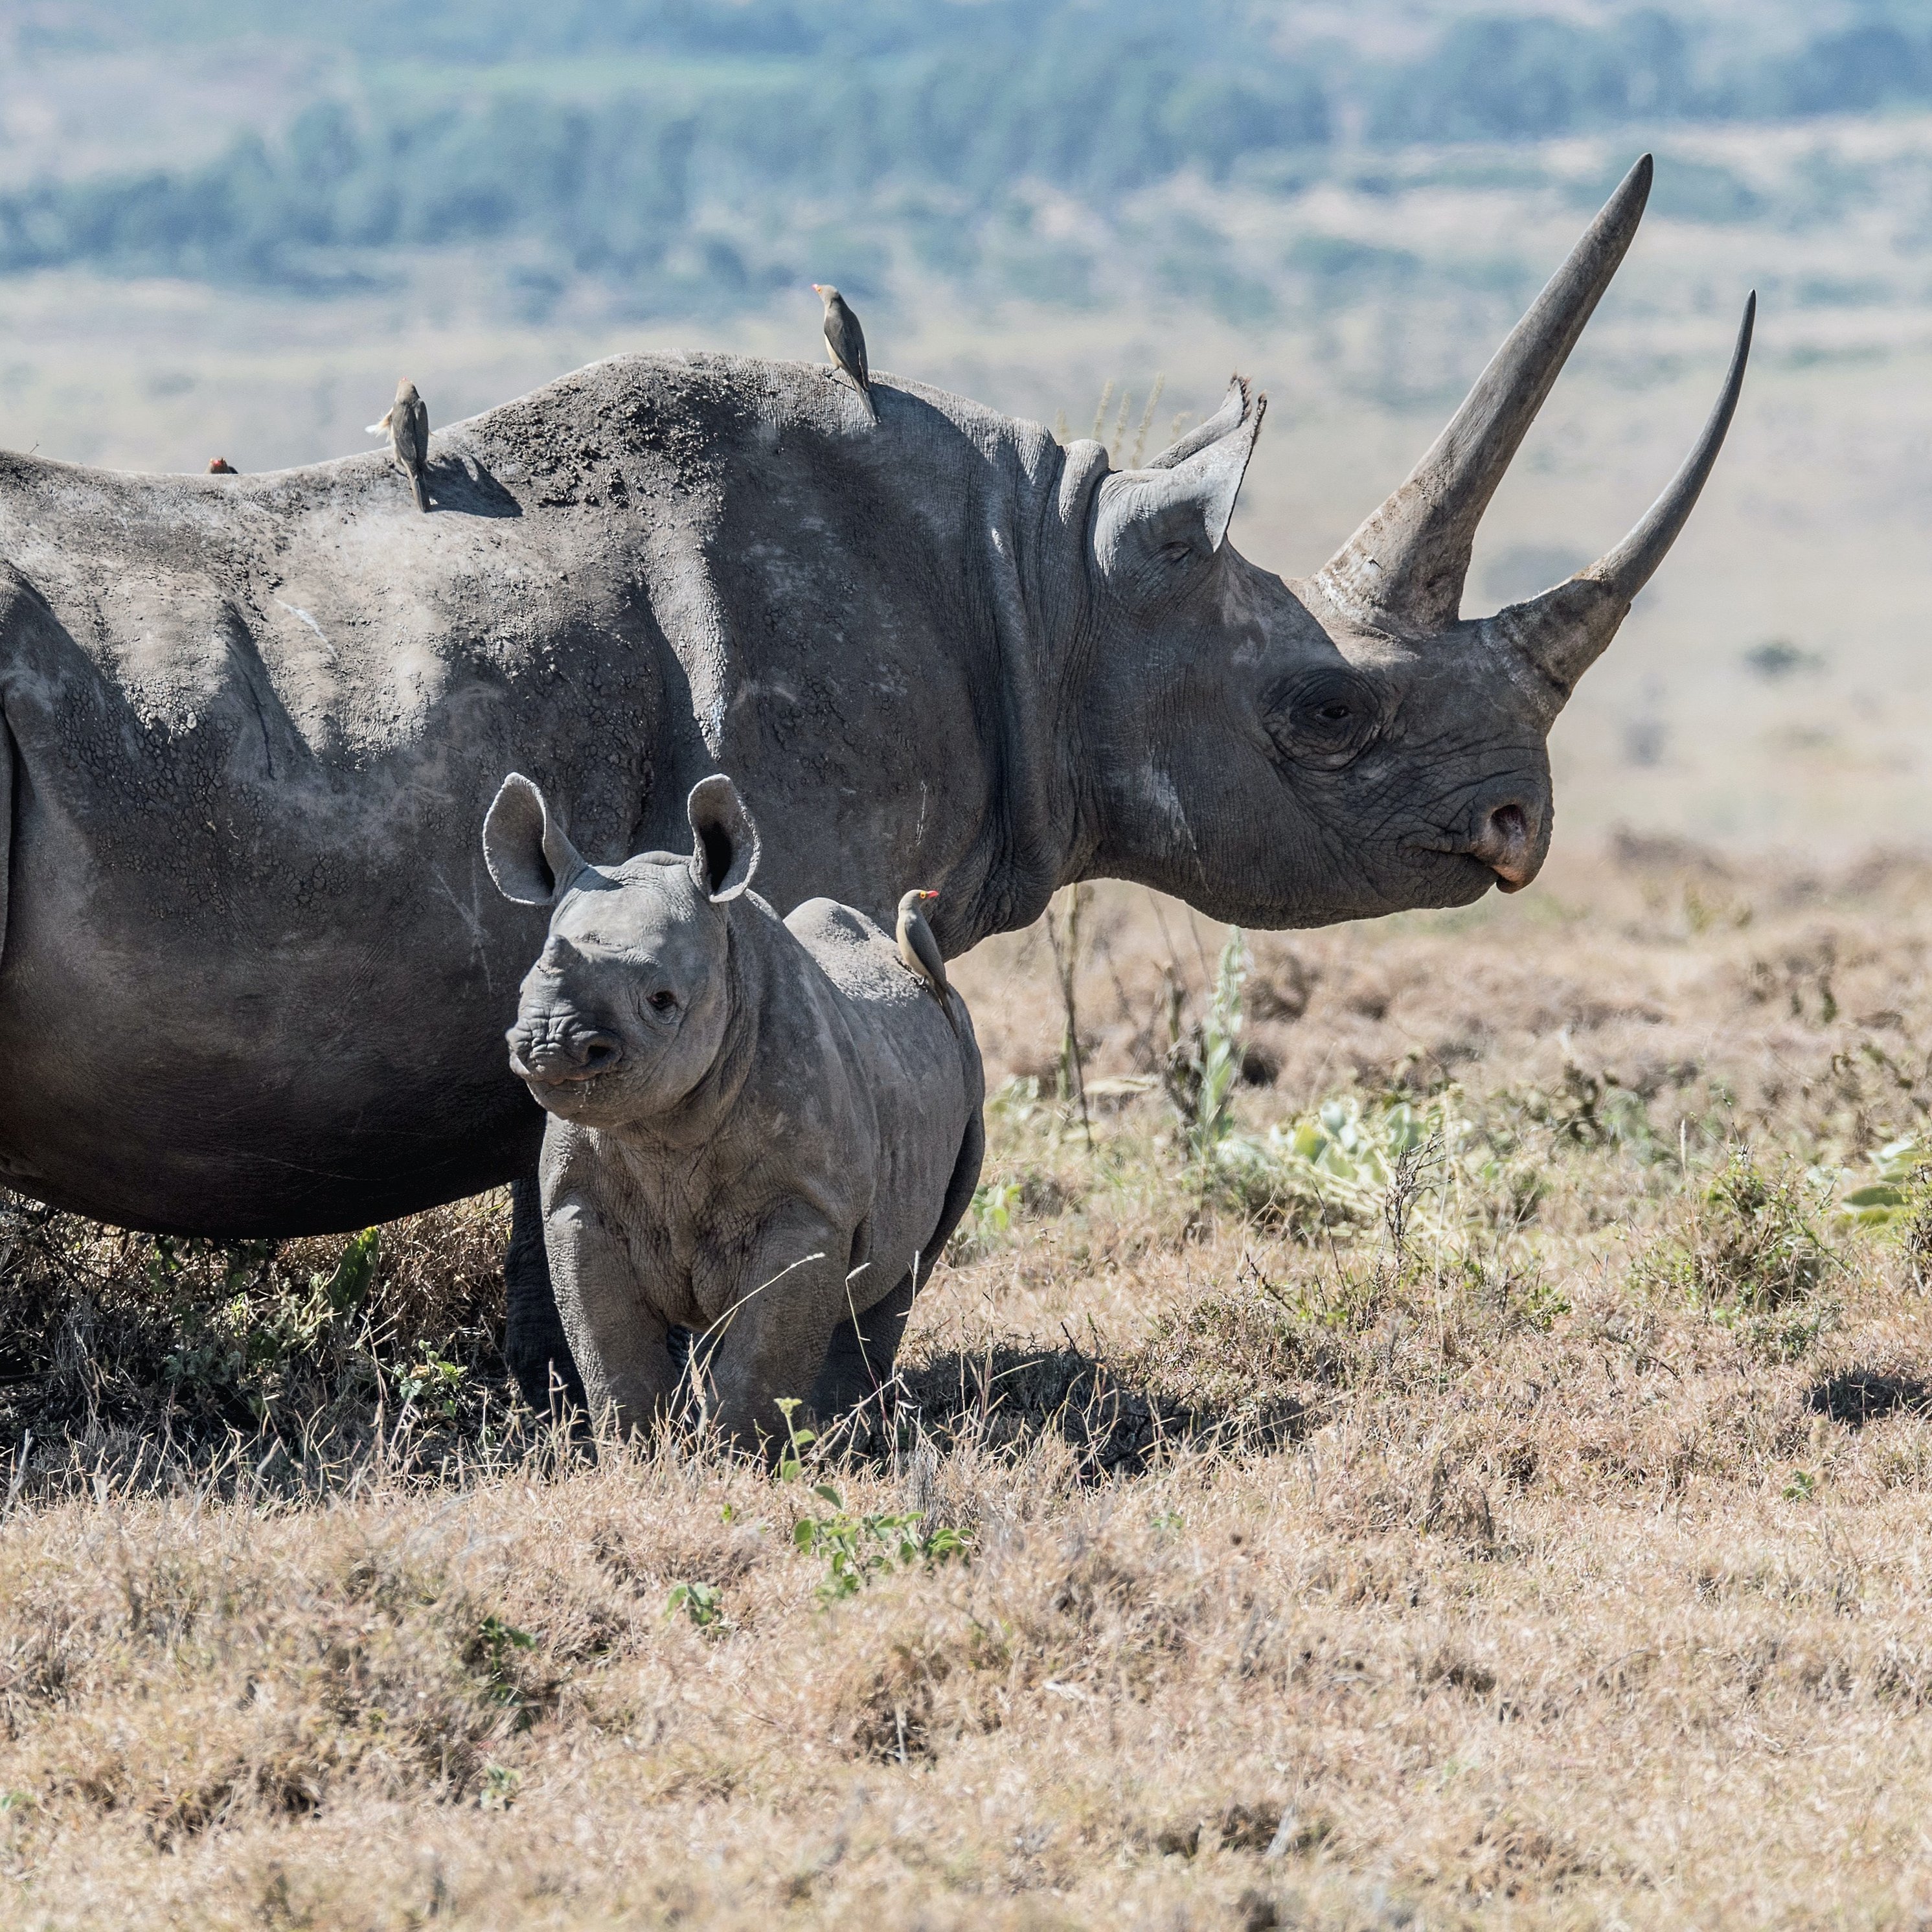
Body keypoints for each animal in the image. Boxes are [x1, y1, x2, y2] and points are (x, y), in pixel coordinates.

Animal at [486, 769, 984, 1439]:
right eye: (522, 988)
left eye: (662, 1000)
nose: (550, 1044)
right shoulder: (577, 1201)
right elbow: (612, 1353)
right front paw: (638, 1449)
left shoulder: (808, 1206)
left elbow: (761, 1358)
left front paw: (741, 1455)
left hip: (968, 1076)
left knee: (905, 1272)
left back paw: (841, 1437)